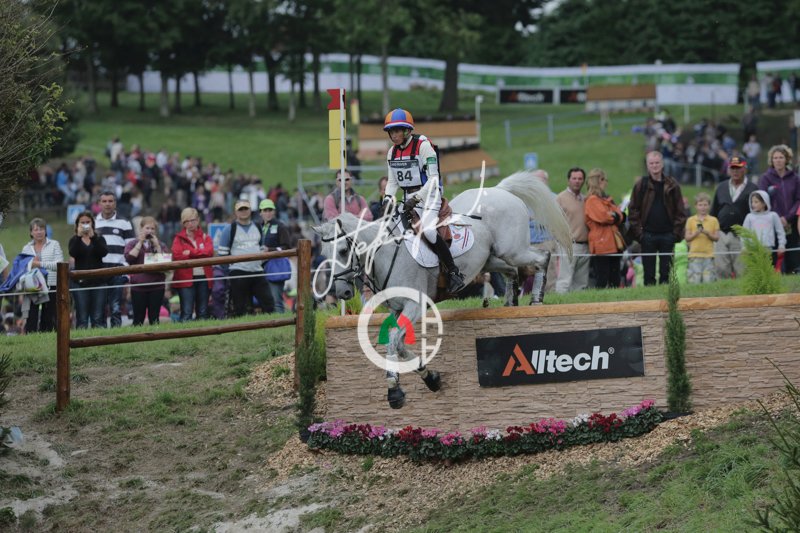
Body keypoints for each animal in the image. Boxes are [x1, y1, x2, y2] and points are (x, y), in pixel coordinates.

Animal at [314, 170, 572, 409]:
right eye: (325, 255)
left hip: (513, 250)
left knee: (542, 257)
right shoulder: (397, 310)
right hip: (491, 259)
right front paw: (428, 378)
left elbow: (395, 342)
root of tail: (499, 190)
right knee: (512, 272)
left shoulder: (415, 305)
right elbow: (397, 344)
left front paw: (395, 389)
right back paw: (510, 303)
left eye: (343, 251)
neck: (384, 253)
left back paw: (536, 299)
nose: (343, 293)